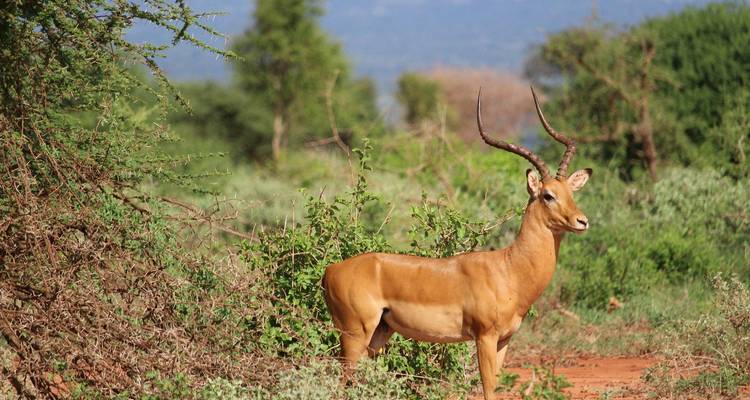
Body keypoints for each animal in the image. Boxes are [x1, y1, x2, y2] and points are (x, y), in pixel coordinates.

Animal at [322, 86, 592, 399]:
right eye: (548, 195)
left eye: (571, 192)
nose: (582, 221)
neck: (509, 269)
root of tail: (330, 270)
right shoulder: (484, 337)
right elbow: (489, 390)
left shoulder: (505, 340)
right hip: (354, 335)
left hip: (378, 334)